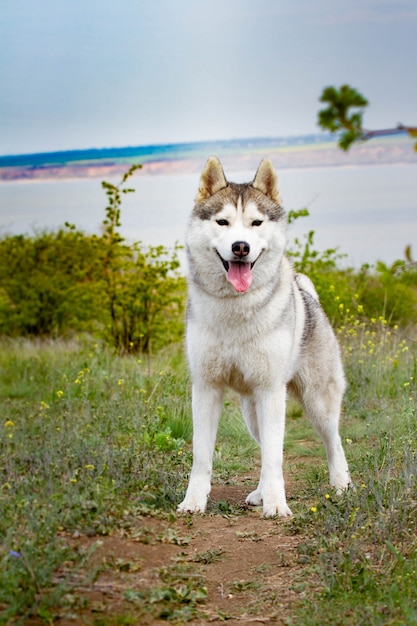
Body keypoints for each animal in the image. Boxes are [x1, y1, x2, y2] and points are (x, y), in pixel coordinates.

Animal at [177, 157, 350, 516]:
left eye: (256, 223)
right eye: (223, 222)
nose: (240, 247)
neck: (235, 309)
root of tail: (308, 295)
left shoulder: (271, 391)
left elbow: (274, 456)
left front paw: (276, 505)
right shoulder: (206, 387)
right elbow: (202, 455)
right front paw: (194, 501)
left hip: (317, 401)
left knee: (333, 440)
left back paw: (341, 483)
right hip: (252, 411)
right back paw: (258, 493)